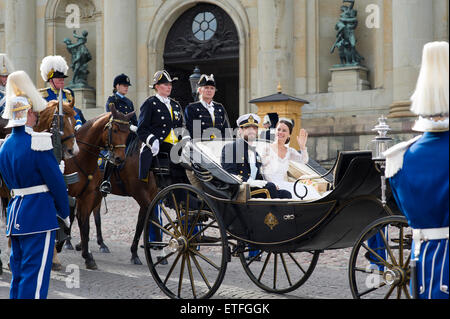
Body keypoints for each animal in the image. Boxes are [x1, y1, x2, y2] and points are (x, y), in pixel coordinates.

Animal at [63, 105, 135, 270]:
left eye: (128, 132)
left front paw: (88, 256)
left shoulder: (88, 195)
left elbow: (85, 224)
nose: (119, 158)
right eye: (114, 130)